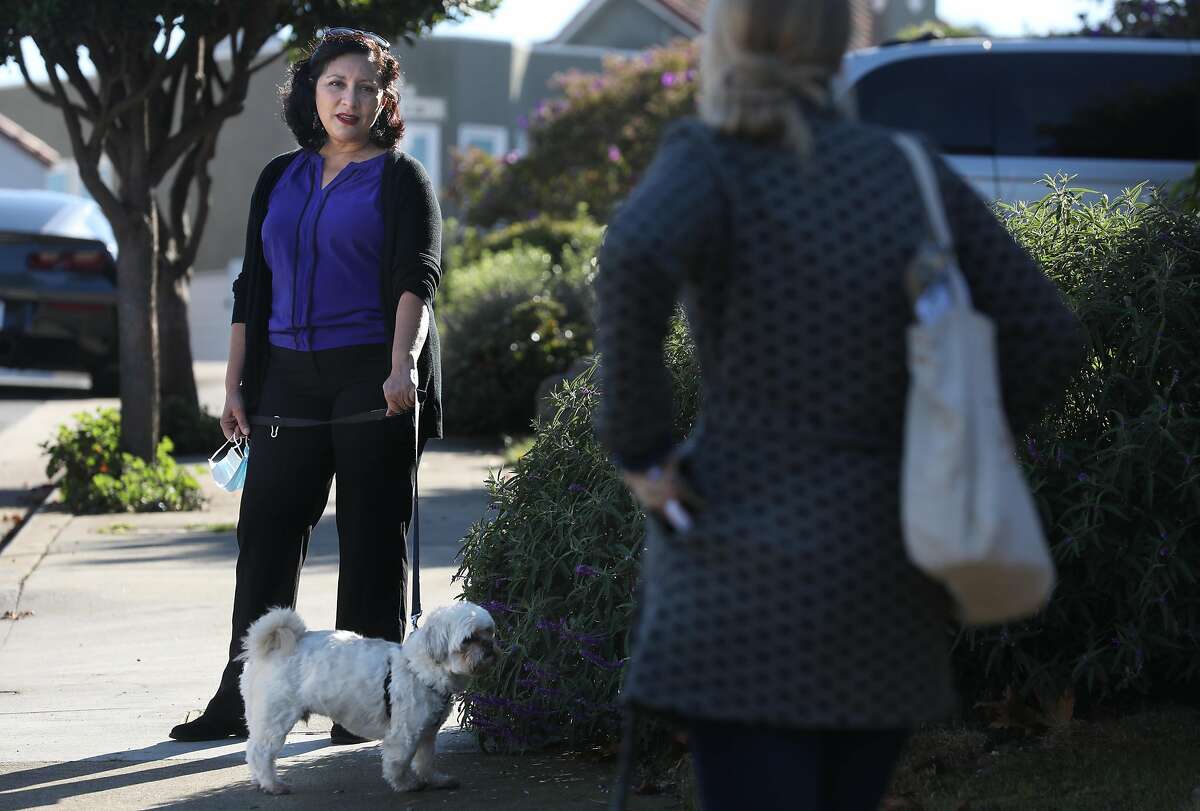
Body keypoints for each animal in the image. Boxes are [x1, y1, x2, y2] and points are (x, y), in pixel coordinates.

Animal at [236, 604, 499, 796]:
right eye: (469, 639)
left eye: (489, 632)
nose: (490, 647)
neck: (418, 669)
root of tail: (270, 650)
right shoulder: (404, 733)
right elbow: (399, 762)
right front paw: (404, 784)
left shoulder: (426, 733)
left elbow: (425, 762)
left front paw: (435, 779)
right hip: (275, 717)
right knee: (260, 752)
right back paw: (272, 784)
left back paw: (261, 781)